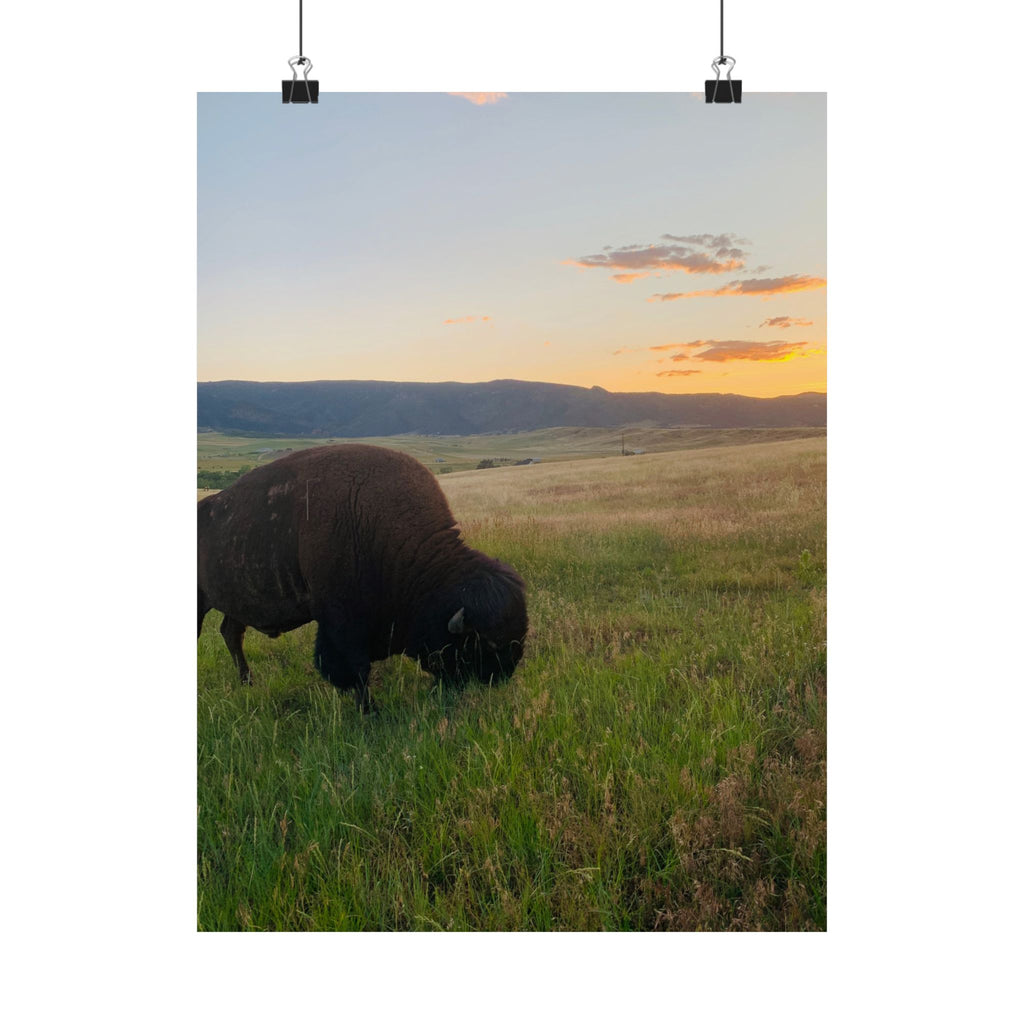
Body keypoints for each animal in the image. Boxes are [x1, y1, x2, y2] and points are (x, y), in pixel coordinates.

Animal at [197, 444, 527, 712]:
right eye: (486, 645)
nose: (499, 679)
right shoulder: (342, 623)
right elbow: (355, 668)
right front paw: (369, 711)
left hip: (236, 602)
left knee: (231, 633)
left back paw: (248, 683)